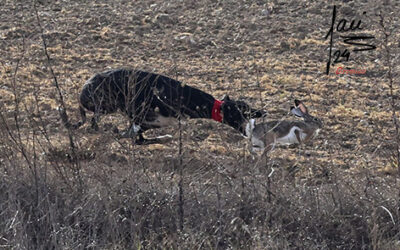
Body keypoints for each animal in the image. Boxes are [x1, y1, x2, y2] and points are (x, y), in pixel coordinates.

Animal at [66, 69, 266, 143]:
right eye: (240, 113)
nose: (248, 131)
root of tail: (85, 86)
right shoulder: (142, 117)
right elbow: (137, 135)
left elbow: (141, 137)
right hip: (106, 104)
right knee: (92, 119)